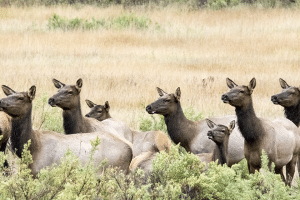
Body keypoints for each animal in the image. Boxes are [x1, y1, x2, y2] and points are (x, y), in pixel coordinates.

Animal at [0, 85, 132, 176]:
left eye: (20, 97)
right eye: (8, 95)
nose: (1, 101)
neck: (32, 146)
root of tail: (130, 149)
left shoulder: (44, 172)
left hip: (117, 172)